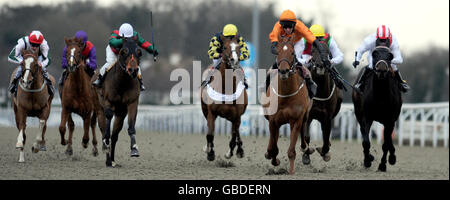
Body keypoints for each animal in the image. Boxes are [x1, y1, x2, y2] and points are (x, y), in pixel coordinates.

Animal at [95, 37, 142, 167]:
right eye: (123, 51)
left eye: (139, 52)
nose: (133, 70)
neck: (122, 83)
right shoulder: (108, 101)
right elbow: (108, 118)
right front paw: (105, 143)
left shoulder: (132, 103)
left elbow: (131, 125)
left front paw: (134, 149)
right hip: (99, 110)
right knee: (103, 129)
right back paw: (107, 156)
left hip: (120, 115)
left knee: (115, 136)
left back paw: (112, 160)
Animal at [260, 35, 312, 174]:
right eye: (277, 52)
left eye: (292, 53)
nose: (284, 70)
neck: (285, 95)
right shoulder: (273, 120)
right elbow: (273, 146)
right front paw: (272, 157)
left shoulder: (296, 120)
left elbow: (291, 150)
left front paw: (291, 170)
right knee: (274, 137)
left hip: (305, 115)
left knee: (303, 132)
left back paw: (306, 148)